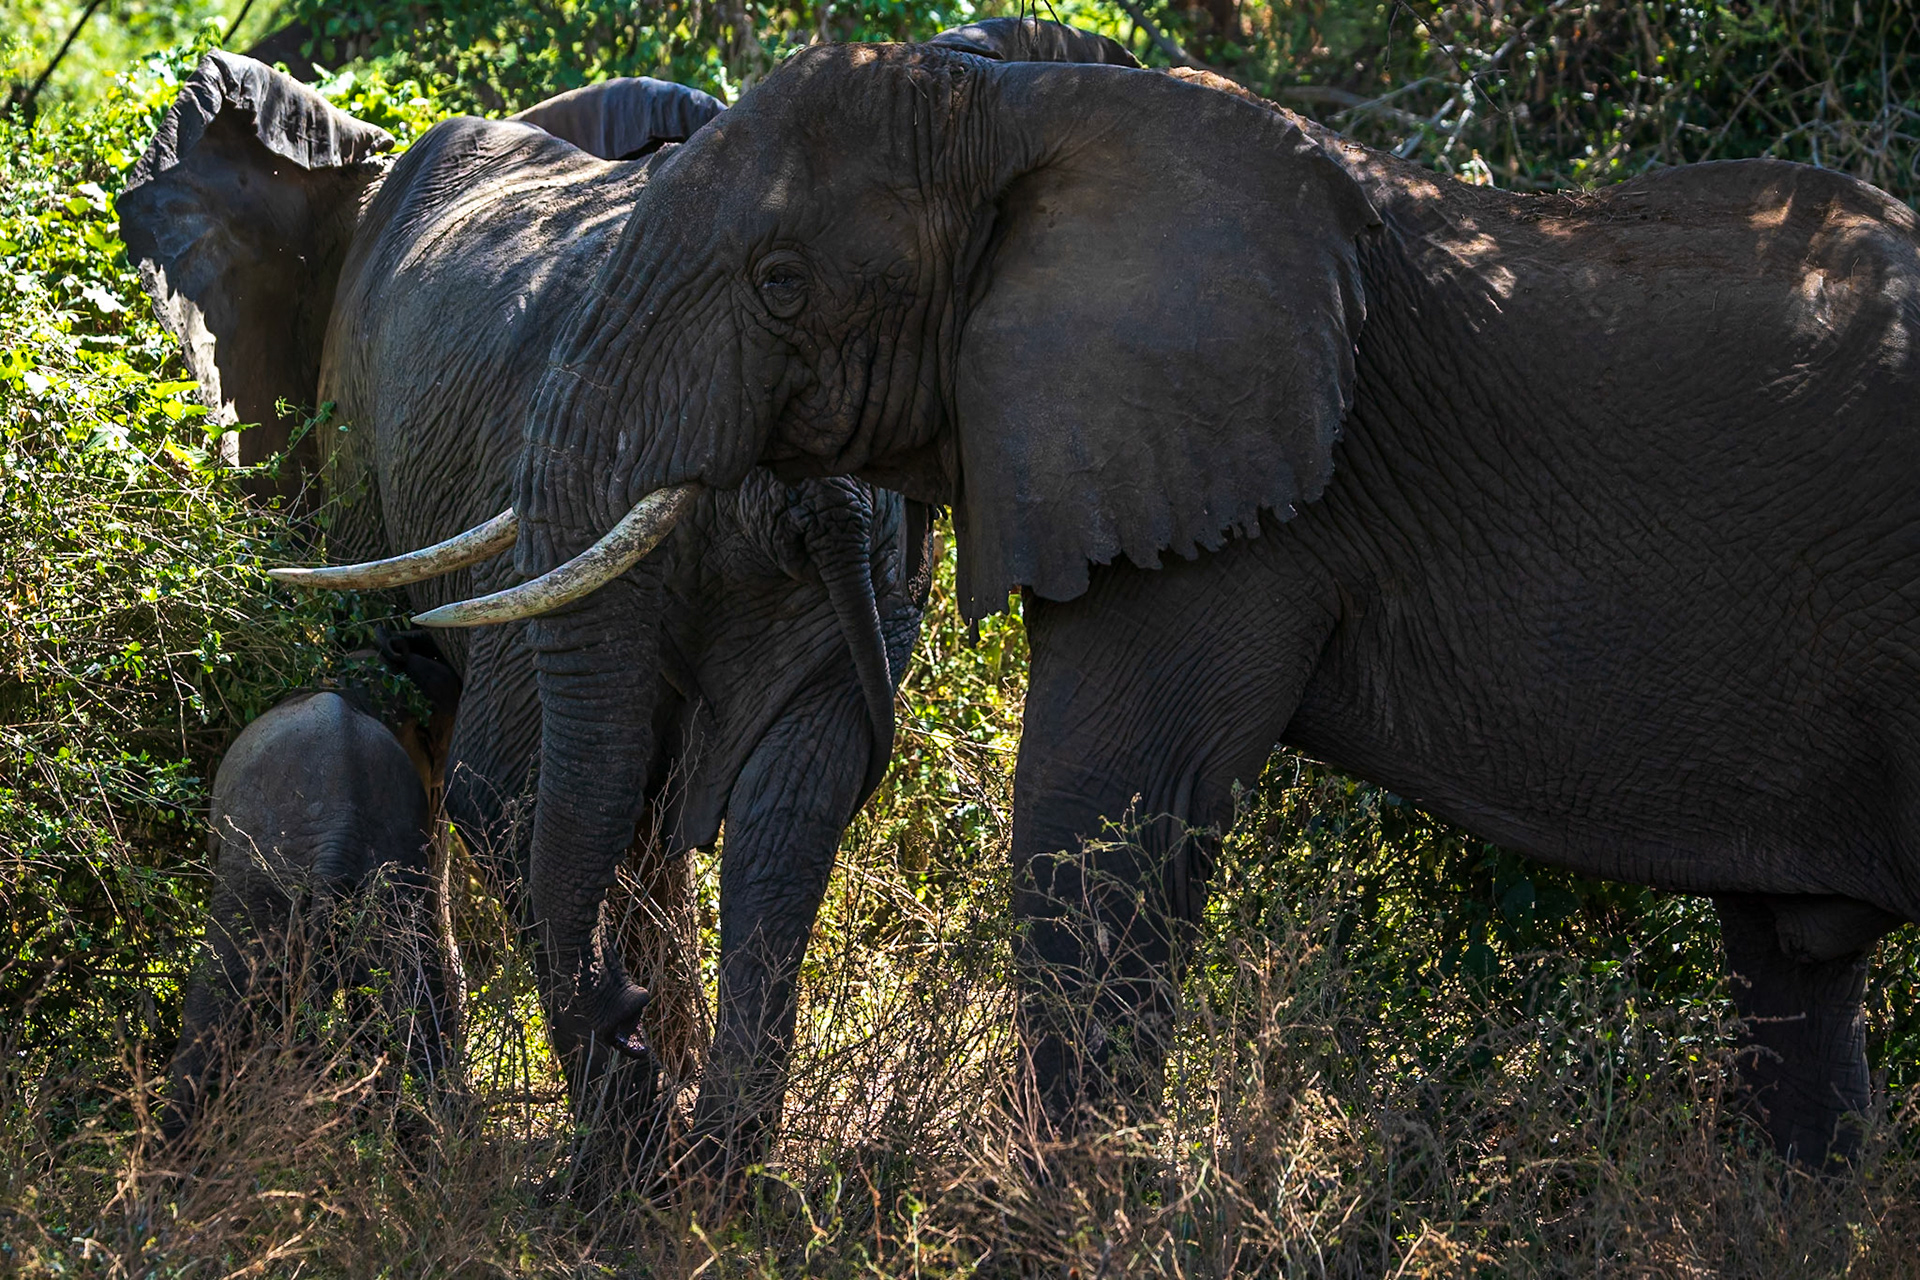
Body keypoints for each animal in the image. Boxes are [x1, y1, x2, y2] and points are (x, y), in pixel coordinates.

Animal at [416, 40, 1920, 1166]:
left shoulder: (1222, 492)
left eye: (781, 285)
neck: (1031, 103)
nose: (630, 1020)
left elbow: (1093, 824)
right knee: (1792, 976)